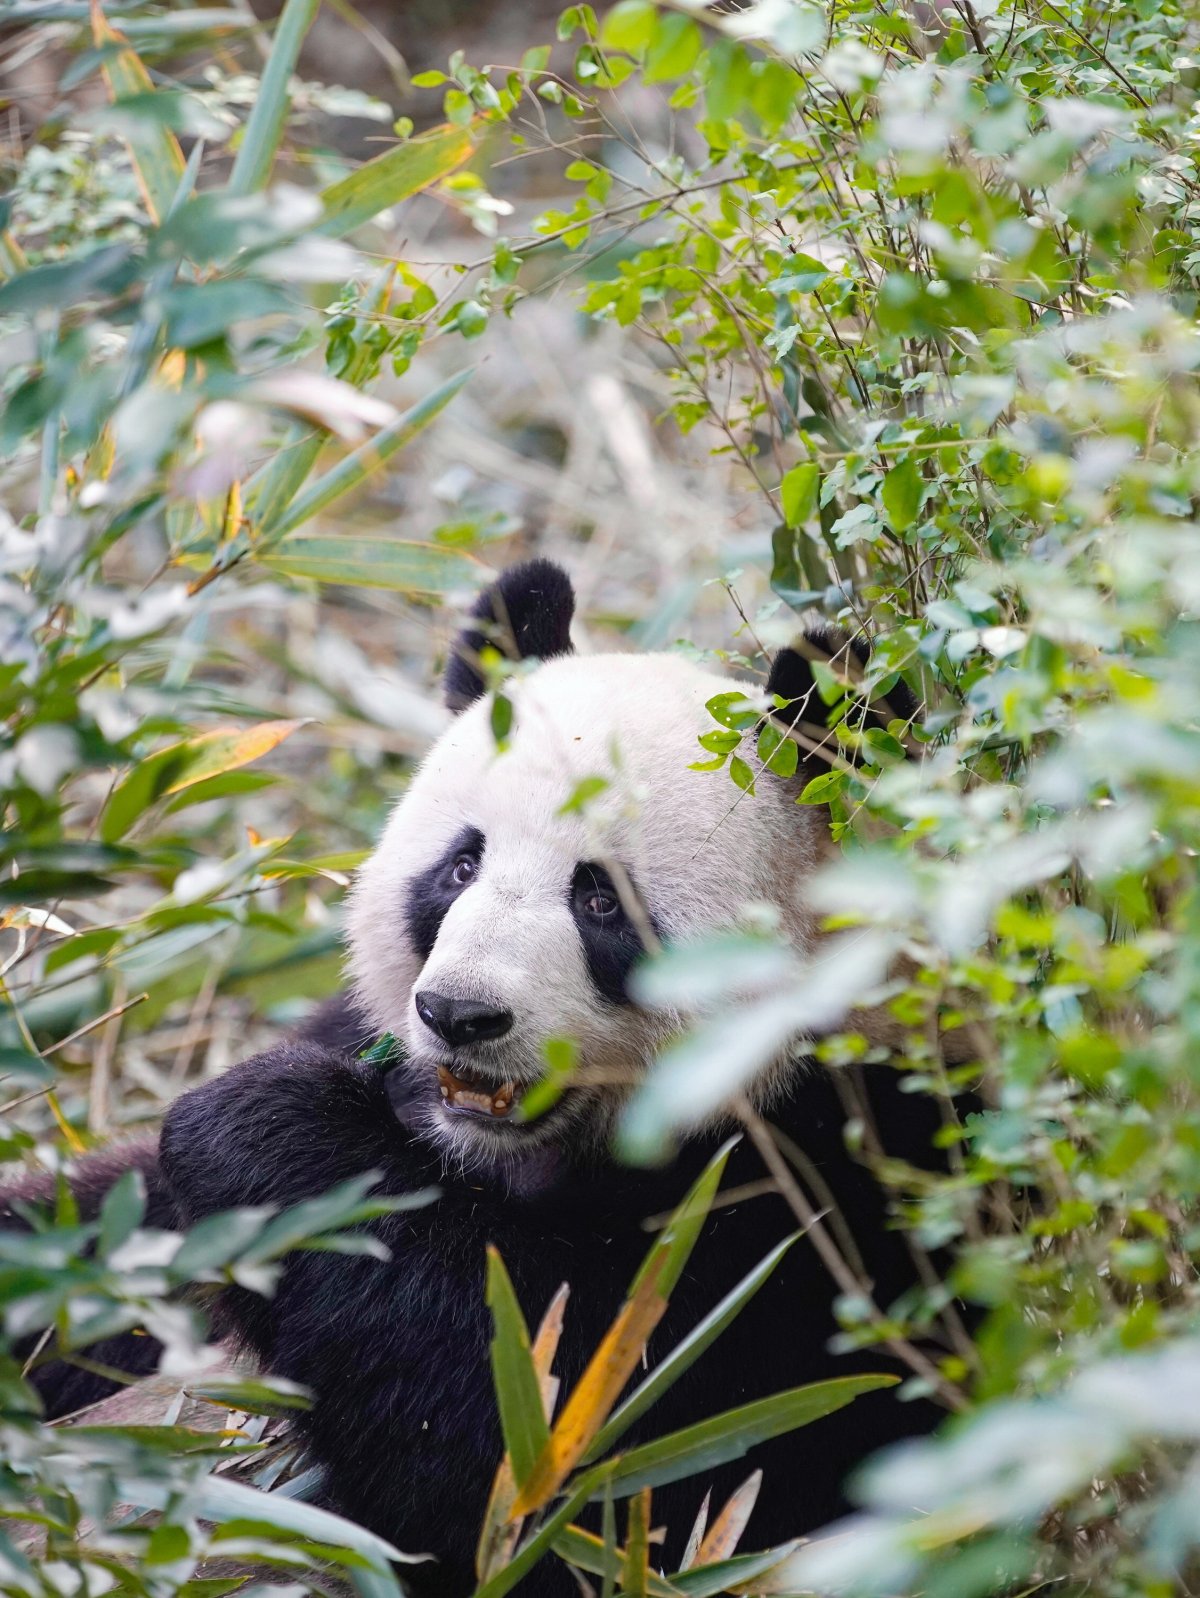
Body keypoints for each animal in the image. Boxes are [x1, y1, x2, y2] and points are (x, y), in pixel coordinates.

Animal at [4, 562, 952, 1598]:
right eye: (460, 866)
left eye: (602, 900)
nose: (459, 1014)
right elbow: (103, 1229)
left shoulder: (831, 1200)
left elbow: (584, 1464)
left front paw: (261, 1129)